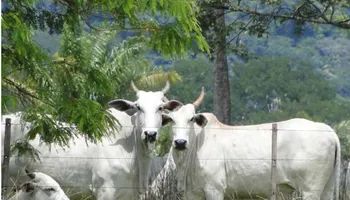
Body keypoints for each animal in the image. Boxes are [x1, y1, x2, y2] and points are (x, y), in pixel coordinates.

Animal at [163, 95, 340, 198]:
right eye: (171, 120)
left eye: (191, 119)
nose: (180, 143)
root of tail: (329, 131)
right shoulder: (192, 193)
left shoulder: (215, 189)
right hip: (327, 188)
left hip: (311, 190)